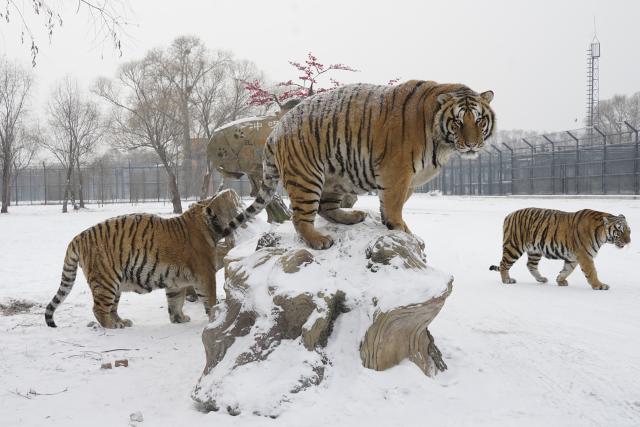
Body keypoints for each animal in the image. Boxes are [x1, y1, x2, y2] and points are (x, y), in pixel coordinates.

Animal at [45, 196, 227, 329]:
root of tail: (78, 237)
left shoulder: (175, 282)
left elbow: (175, 301)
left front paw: (179, 318)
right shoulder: (205, 274)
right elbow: (209, 297)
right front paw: (214, 317)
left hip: (114, 285)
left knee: (112, 308)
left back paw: (122, 321)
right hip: (105, 280)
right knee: (99, 309)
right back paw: (113, 325)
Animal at [211, 80, 496, 249]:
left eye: (479, 120)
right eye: (458, 121)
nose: (472, 144)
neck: (442, 141)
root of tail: (275, 130)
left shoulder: (409, 180)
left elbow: (393, 203)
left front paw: (391, 224)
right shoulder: (397, 171)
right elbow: (394, 204)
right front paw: (401, 229)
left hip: (333, 177)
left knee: (325, 208)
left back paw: (352, 216)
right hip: (307, 177)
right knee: (299, 217)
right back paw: (319, 240)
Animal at [489, 208, 631, 290]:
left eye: (629, 231)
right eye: (619, 230)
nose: (629, 241)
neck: (602, 235)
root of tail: (509, 215)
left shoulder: (573, 257)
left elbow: (567, 269)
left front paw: (560, 280)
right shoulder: (585, 256)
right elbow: (591, 272)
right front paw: (599, 285)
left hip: (535, 250)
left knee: (530, 265)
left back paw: (541, 279)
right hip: (514, 246)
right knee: (503, 264)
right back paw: (507, 280)